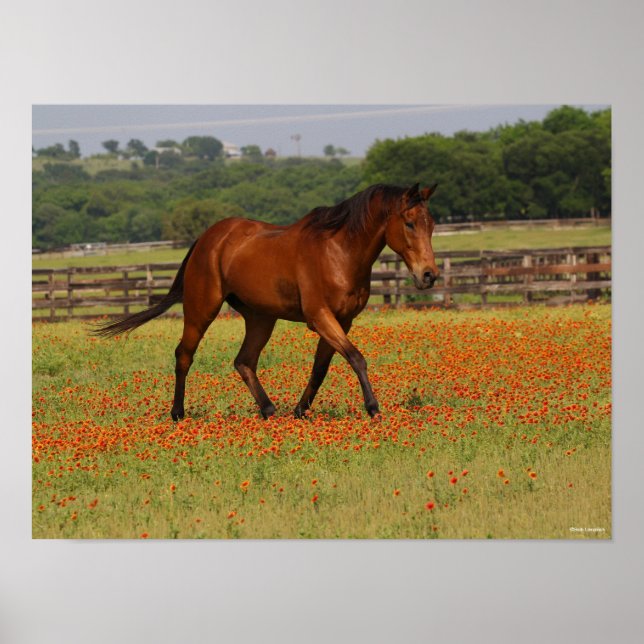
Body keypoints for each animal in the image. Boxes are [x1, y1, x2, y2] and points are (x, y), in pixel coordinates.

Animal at [92, 182, 440, 420]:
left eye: (432, 223)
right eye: (409, 223)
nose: (429, 275)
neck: (340, 252)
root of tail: (208, 238)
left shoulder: (342, 320)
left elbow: (320, 368)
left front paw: (300, 411)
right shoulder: (320, 317)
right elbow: (356, 358)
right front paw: (373, 409)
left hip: (261, 318)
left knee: (244, 361)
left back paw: (269, 409)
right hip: (202, 309)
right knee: (184, 355)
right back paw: (178, 413)